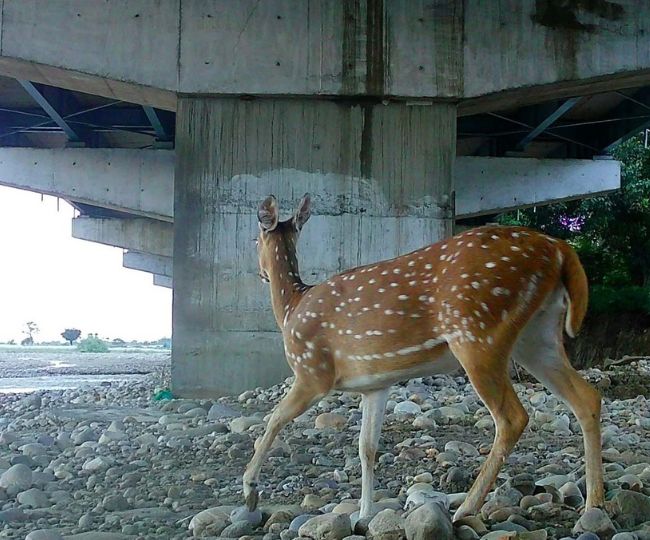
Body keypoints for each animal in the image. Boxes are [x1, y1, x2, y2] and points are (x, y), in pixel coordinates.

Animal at [242, 193, 604, 523]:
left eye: (254, 239)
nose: (259, 273)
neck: (290, 309)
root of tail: (559, 249)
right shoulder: (375, 385)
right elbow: (366, 448)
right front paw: (364, 514)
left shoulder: (312, 370)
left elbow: (273, 418)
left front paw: (250, 490)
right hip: (537, 335)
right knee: (587, 397)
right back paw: (594, 505)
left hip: (477, 331)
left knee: (512, 417)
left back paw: (466, 507)